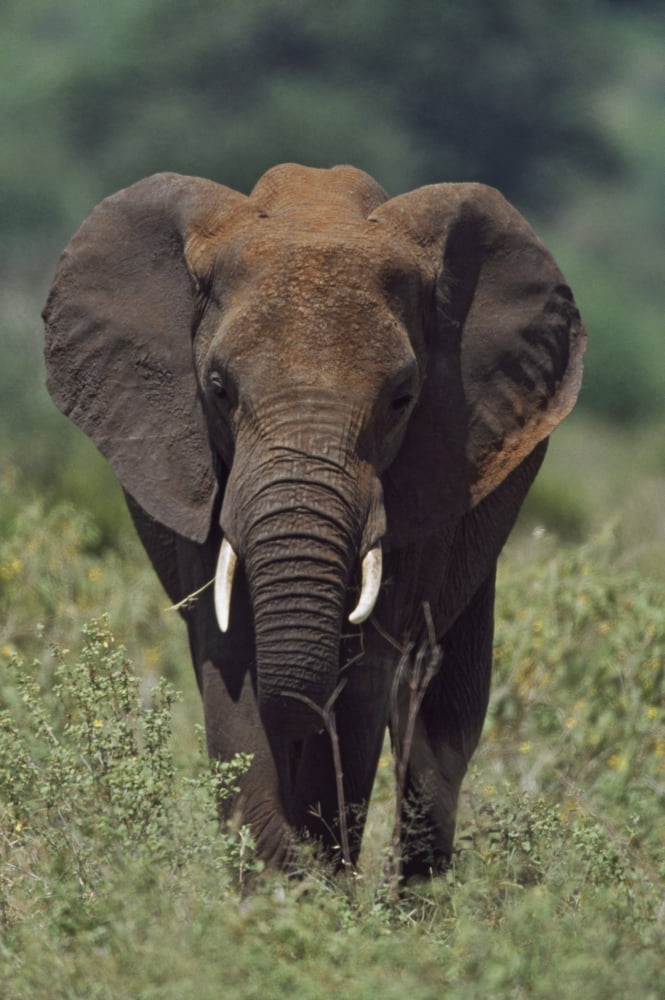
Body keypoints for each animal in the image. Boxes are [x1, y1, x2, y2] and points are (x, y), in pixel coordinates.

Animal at [43, 163, 585, 876]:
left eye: (402, 400)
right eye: (217, 388)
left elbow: (364, 677)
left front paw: (314, 884)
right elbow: (230, 661)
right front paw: (278, 885)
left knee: (438, 719)